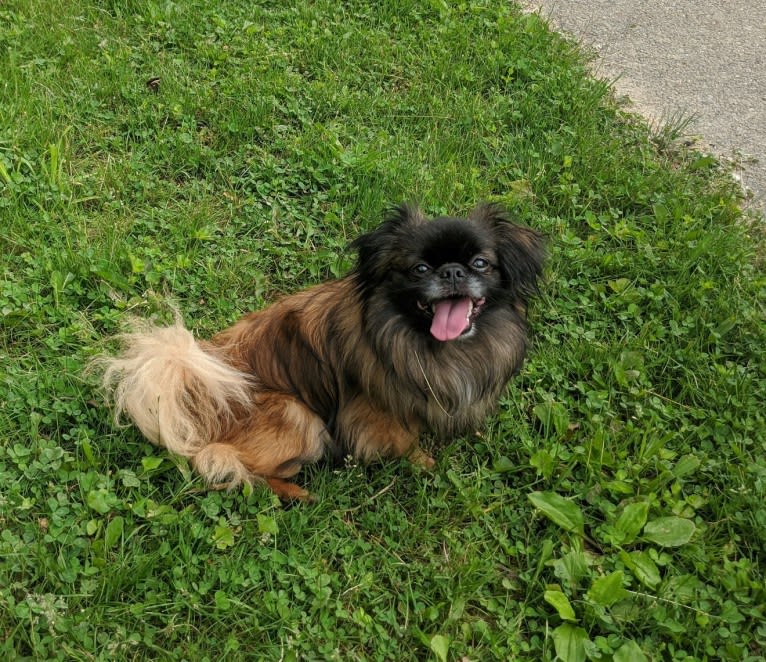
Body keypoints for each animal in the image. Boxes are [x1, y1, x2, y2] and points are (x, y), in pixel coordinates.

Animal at [102, 205, 544, 500]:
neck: (426, 341)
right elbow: (404, 442)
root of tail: (198, 399)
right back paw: (296, 493)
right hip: (298, 417)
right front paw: (425, 464)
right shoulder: (378, 413)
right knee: (227, 464)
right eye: (419, 269)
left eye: (480, 263)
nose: (452, 271)